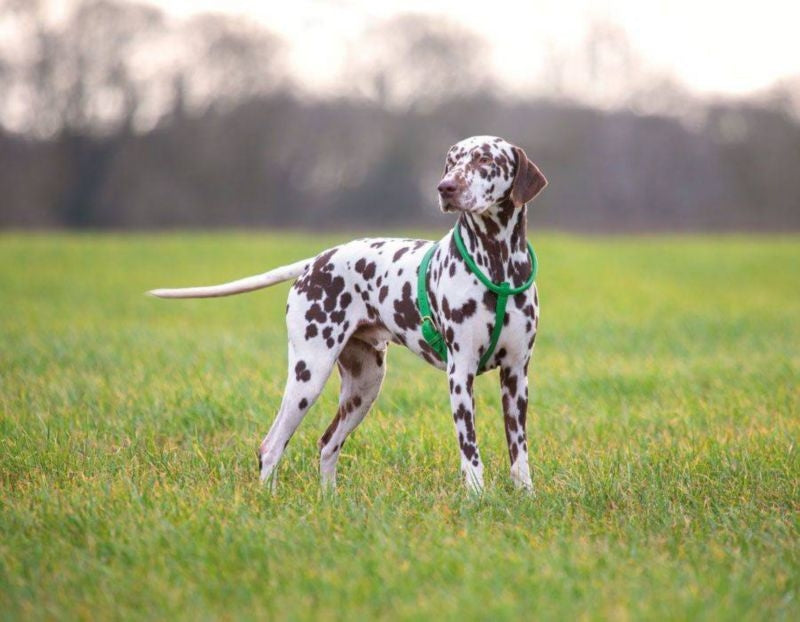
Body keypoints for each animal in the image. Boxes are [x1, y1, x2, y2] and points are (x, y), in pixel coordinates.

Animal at [151, 138, 548, 498]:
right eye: (452, 161)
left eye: (485, 159)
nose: (446, 187)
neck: (498, 266)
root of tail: (316, 260)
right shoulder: (460, 373)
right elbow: (471, 452)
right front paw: (477, 498)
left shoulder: (516, 376)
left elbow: (519, 452)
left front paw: (525, 496)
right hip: (309, 375)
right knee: (271, 446)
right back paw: (268, 501)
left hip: (365, 386)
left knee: (328, 444)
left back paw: (330, 501)